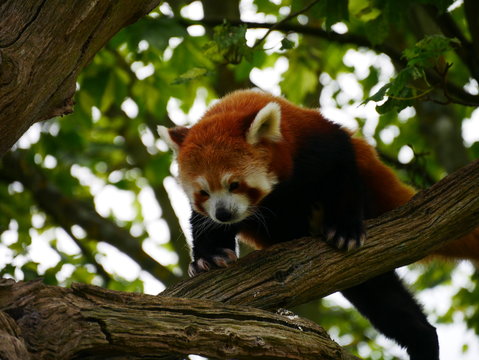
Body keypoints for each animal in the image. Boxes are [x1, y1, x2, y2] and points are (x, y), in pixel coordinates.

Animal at [160, 89, 479, 360]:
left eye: (234, 184)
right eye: (204, 192)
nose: (224, 214)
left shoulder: (316, 141)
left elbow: (340, 172)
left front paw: (344, 229)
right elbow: (204, 224)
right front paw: (209, 257)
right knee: (383, 298)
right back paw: (422, 337)